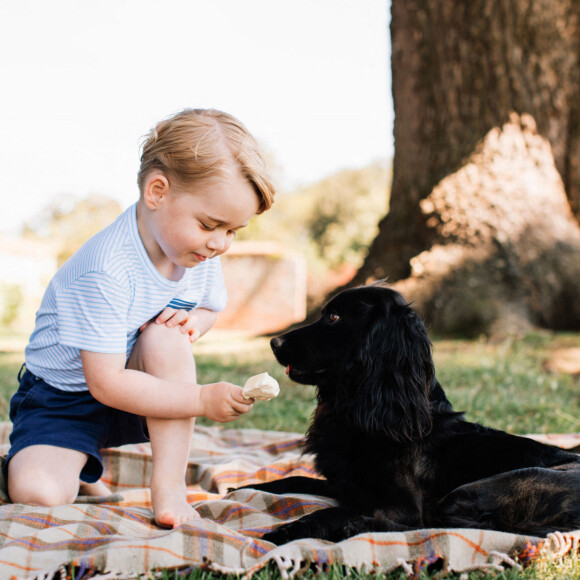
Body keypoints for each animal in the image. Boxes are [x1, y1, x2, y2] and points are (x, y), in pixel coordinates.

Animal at [242, 284, 576, 548]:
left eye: (333, 317)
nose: (273, 342)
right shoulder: (346, 486)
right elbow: (292, 479)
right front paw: (241, 488)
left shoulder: (400, 504)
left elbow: (333, 511)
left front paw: (284, 532)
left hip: (472, 492)